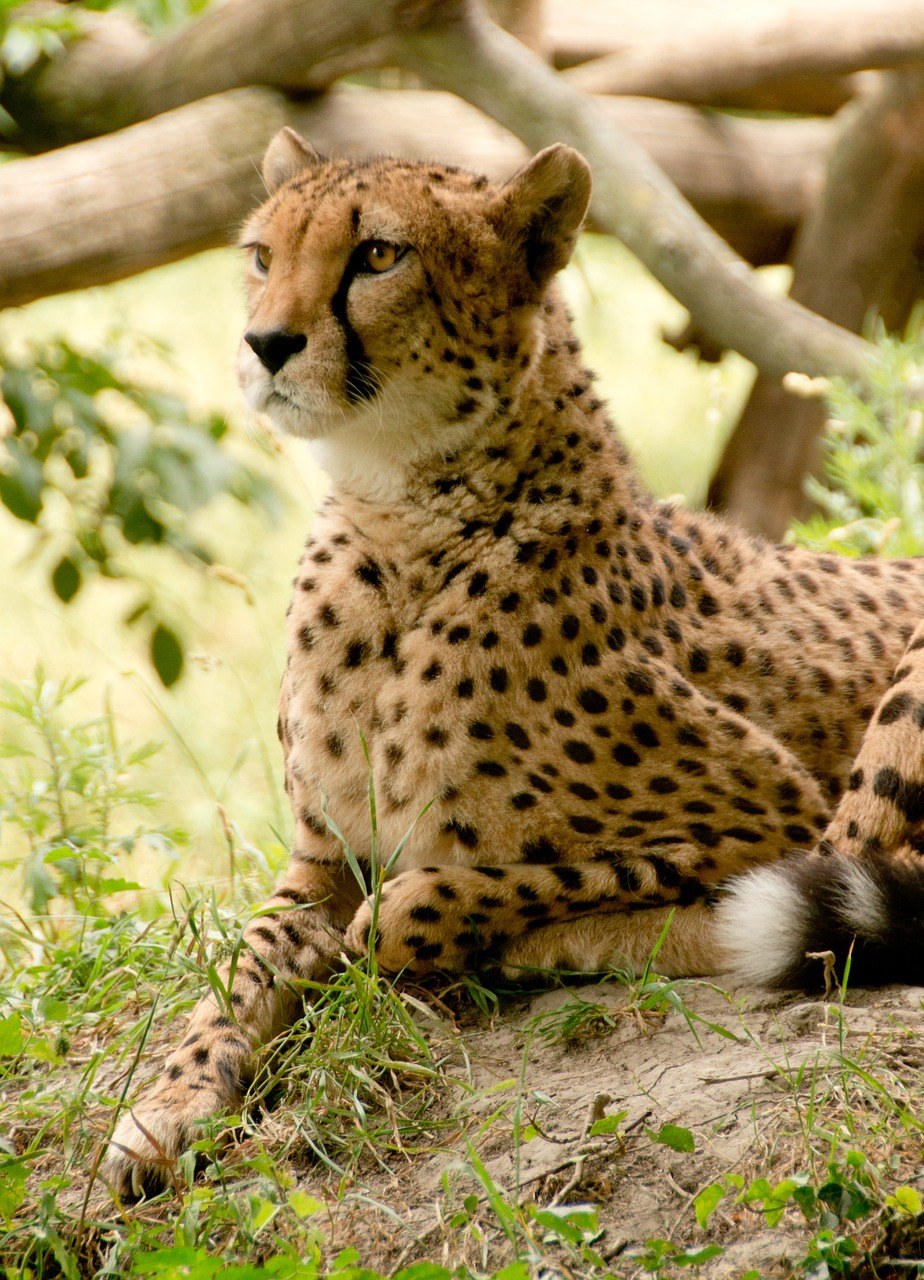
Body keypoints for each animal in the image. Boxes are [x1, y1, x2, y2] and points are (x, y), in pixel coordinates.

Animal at [102, 124, 921, 1192]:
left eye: (378, 255)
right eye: (261, 256)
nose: (265, 344)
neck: (401, 527)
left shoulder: (771, 812)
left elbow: (443, 893)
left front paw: (458, 932)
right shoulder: (321, 853)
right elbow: (250, 953)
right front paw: (173, 1100)